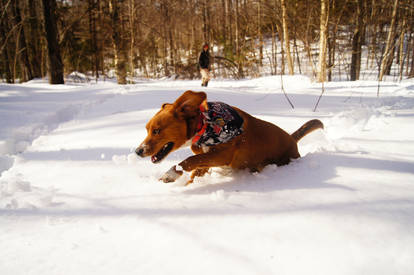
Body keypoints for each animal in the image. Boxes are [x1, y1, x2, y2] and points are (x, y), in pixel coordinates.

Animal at [136, 91, 324, 185]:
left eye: (157, 131)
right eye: (147, 129)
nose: (138, 151)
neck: (205, 124)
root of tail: (292, 139)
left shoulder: (222, 155)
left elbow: (188, 160)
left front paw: (171, 174)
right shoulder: (207, 160)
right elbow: (195, 168)